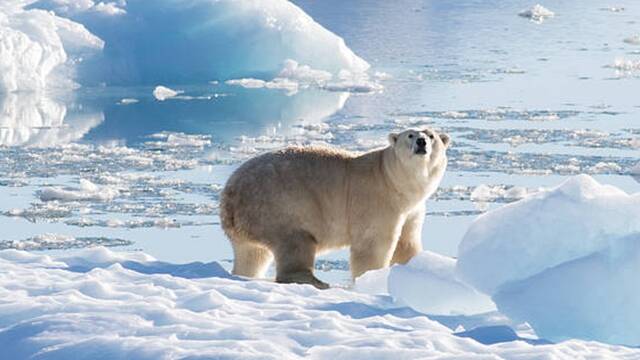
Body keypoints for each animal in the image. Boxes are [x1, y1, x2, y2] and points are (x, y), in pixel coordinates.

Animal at [220, 128, 450, 288]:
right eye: (410, 135)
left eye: (431, 135)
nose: (421, 142)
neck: (392, 179)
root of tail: (229, 194)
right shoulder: (377, 199)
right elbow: (373, 244)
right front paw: (371, 279)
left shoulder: (412, 209)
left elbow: (407, 243)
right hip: (279, 204)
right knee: (295, 242)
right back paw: (316, 281)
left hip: (250, 220)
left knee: (252, 254)